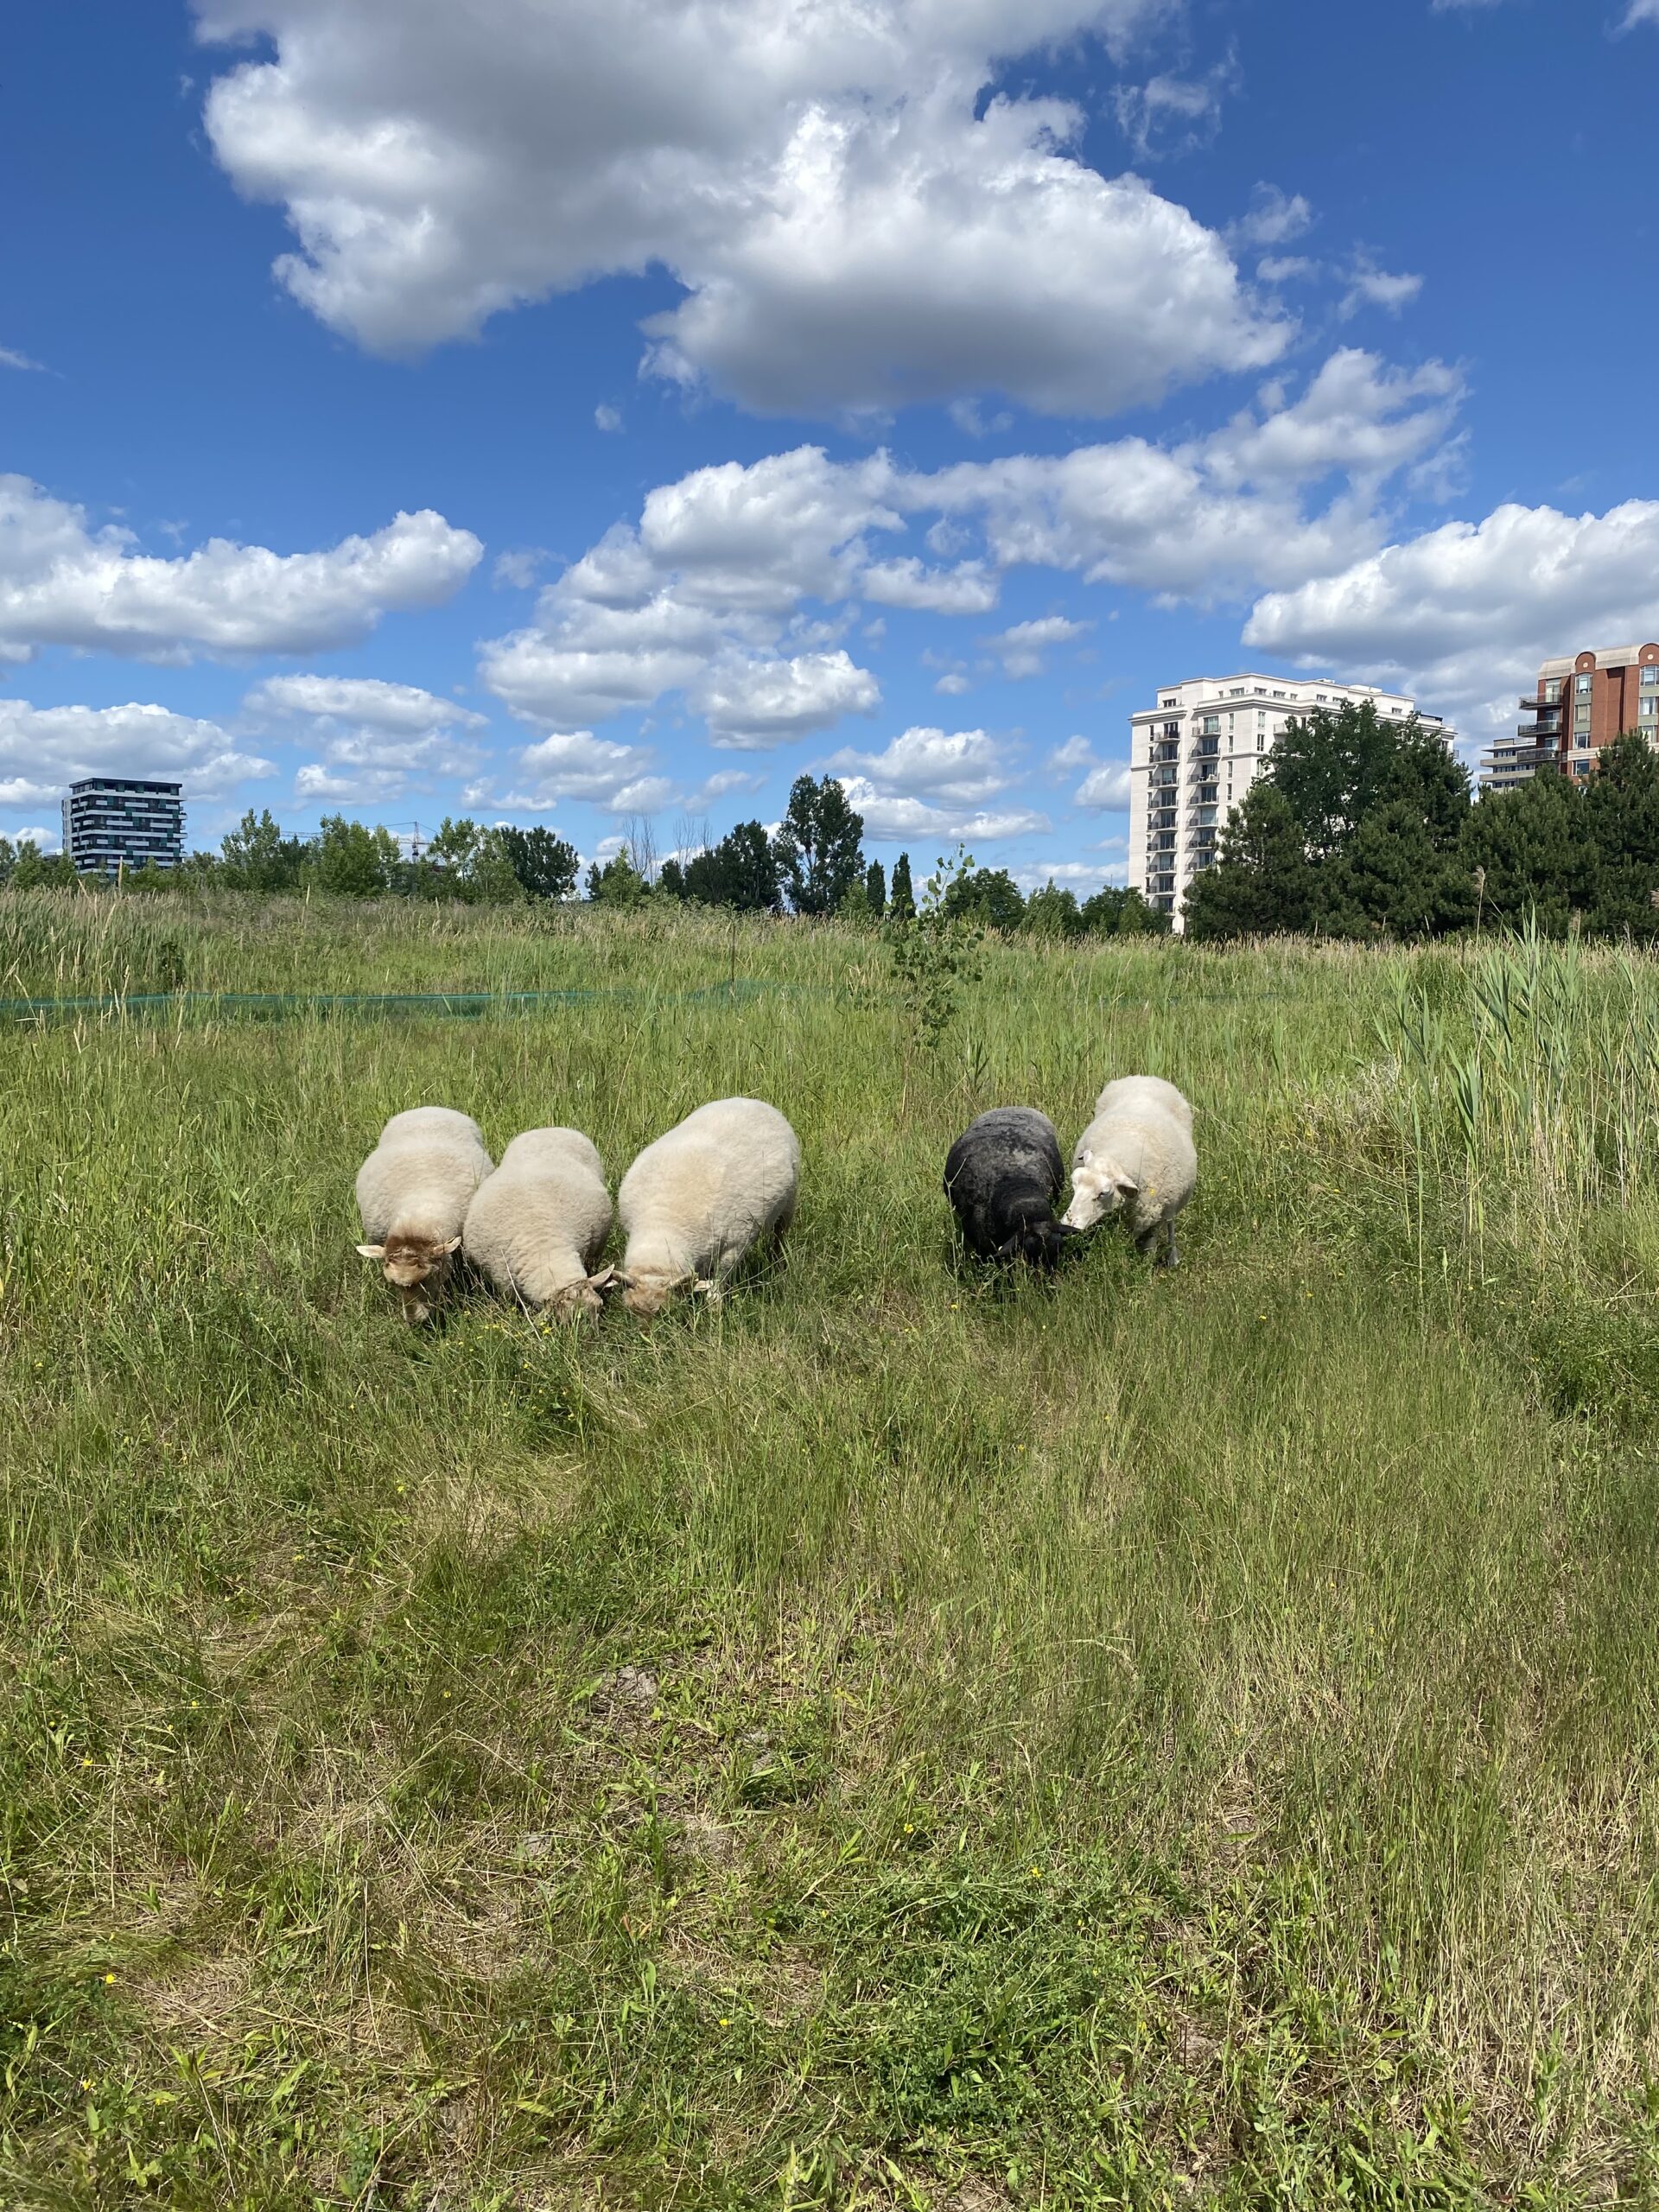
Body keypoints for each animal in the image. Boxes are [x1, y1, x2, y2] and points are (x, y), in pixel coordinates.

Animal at [615, 1097, 800, 1317]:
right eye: (632, 1312)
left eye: (665, 1314)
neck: (662, 1222)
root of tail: (752, 1101)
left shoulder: (734, 1245)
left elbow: (718, 1282)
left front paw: (715, 1312)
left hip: (790, 1200)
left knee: (779, 1236)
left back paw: (778, 1264)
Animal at [1063, 1076, 1196, 1266]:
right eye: (1074, 1185)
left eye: (1103, 1193)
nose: (1069, 1224)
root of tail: (1145, 1077)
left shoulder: (1154, 1218)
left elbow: (1150, 1248)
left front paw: (1145, 1268)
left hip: (1173, 1204)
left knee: (1170, 1224)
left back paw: (1173, 1258)